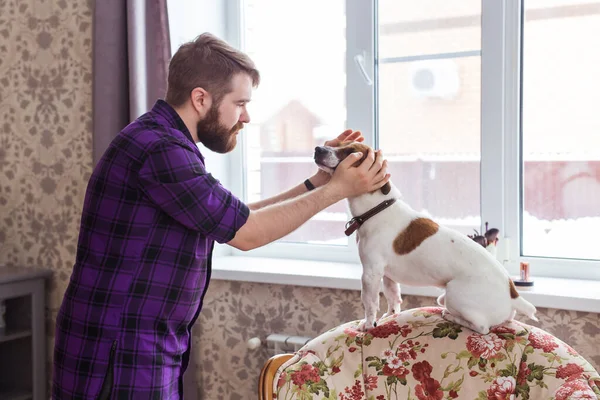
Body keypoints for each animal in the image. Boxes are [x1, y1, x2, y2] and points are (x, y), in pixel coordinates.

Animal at [314, 141, 540, 334]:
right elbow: (393, 298)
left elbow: (369, 303)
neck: (377, 208)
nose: (318, 148)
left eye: (350, 151)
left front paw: (368, 324)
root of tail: (513, 295)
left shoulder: (370, 274)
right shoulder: (387, 276)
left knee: (482, 327)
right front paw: (390, 316)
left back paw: (451, 317)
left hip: (454, 294)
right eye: (335, 144)